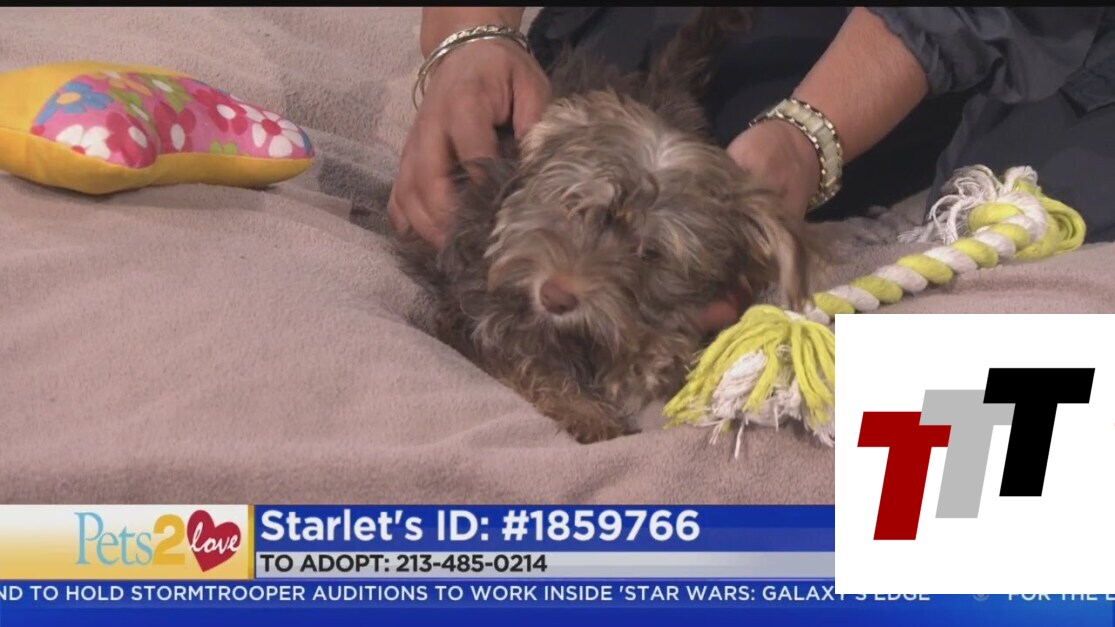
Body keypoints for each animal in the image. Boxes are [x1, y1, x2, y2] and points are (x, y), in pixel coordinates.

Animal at [395, 7, 815, 443]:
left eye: (648, 253)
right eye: (575, 207)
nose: (555, 296)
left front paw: (649, 355)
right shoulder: (473, 311)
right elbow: (526, 359)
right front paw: (587, 412)